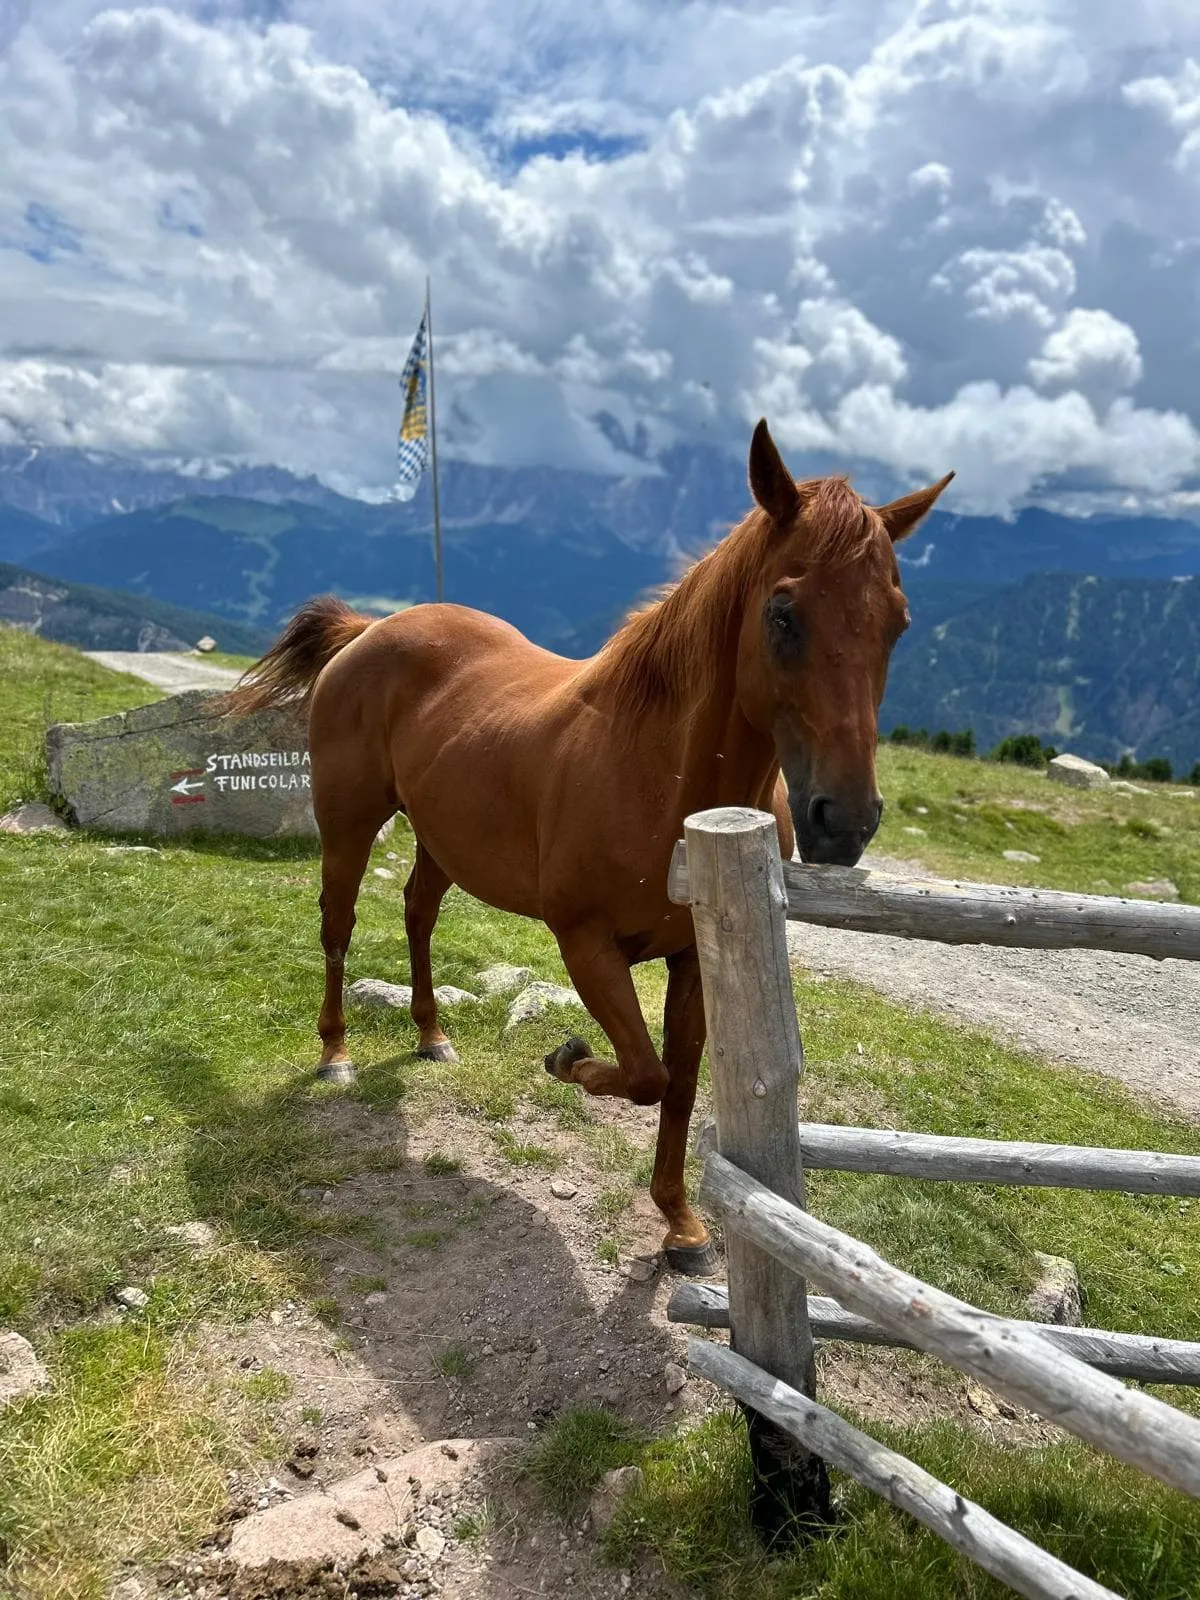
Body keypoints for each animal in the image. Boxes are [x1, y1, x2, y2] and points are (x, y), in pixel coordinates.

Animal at [225, 422, 953, 1273]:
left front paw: (682, 1225)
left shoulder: (693, 961)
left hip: (442, 839)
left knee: (417, 914)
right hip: (348, 826)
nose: (847, 821)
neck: (657, 774)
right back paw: (335, 1053)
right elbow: (643, 1075)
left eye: (897, 622)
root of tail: (369, 629)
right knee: (338, 926)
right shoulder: (585, 943)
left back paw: (432, 1036)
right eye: (783, 614)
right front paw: (566, 1059)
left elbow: (678, 1081)